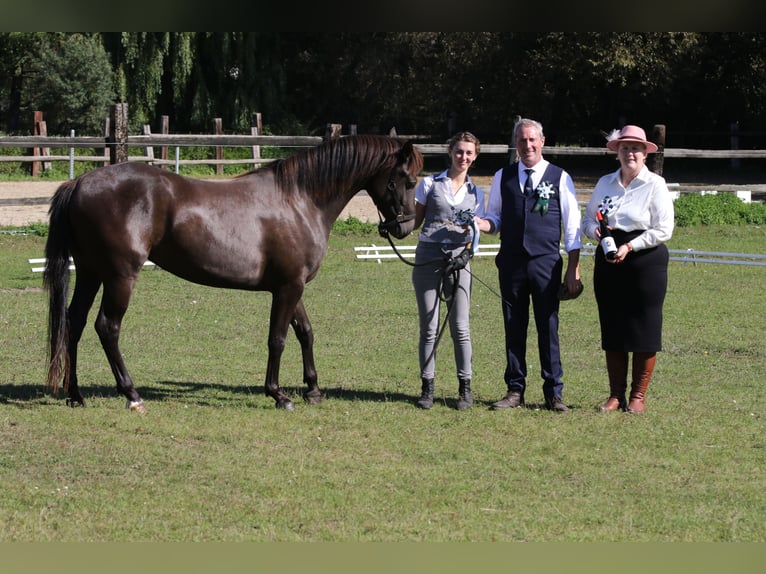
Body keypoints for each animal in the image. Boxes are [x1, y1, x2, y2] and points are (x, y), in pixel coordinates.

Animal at [44, 135, 424, 414]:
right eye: (407, 180)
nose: (404, 227)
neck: (299, 200)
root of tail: (79, 182)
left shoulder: (292, 286)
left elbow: (305, 333)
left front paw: (313, 389)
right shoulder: (288, 287)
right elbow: (278, 338)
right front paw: (278, 394)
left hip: (91, 273)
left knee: (74, 323)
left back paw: (75, 394)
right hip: (120, 277)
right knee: (107, 327)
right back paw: (131, 393)